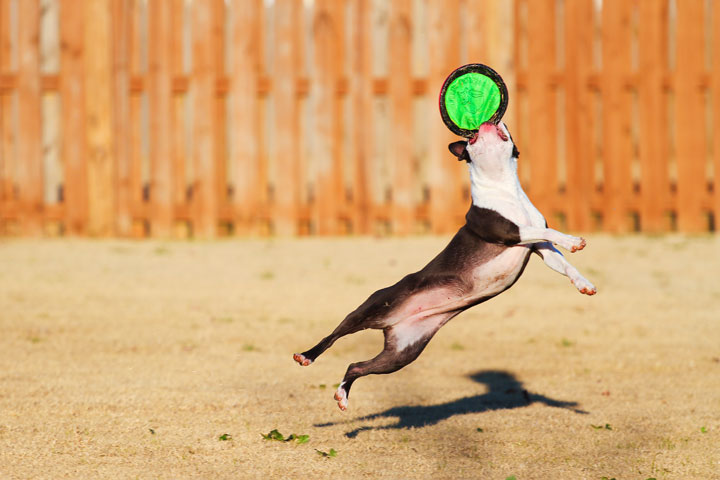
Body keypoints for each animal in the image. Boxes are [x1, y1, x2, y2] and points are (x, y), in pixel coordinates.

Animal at [292, 122, 596, 410]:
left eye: (505, 129)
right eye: (472, 137)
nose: (487, 121)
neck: (503, 185)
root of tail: (391, 323)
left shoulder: (538, 248)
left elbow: (561, 260)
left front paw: (584, 284)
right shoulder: (507, 230)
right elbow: (547, 231)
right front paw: (573, 241)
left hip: (402, 353)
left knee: (356, 366)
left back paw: (342, 395)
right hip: (373, 307)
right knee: (335, 334)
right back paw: (306, 356)